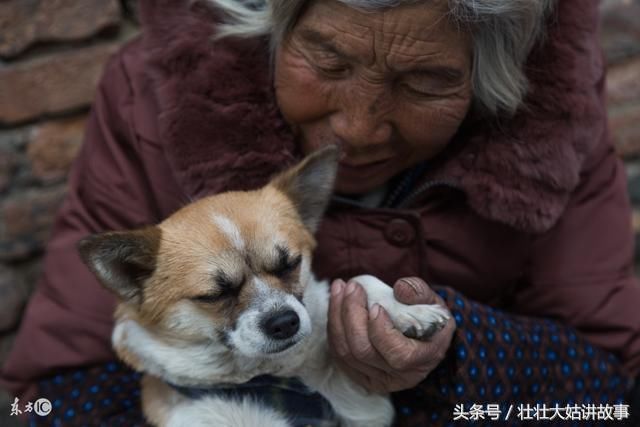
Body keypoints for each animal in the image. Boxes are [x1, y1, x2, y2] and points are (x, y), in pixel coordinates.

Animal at [79, 145, 450, 426]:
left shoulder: (365, 412)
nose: (285, 322)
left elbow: (358, 280)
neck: (277, 379)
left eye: (290, 264)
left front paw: (406, 309)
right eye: (214, 295)